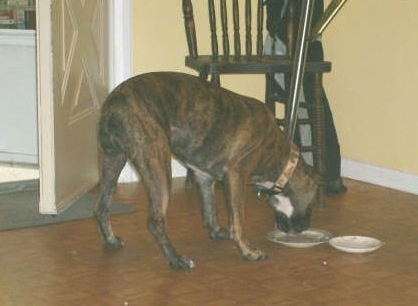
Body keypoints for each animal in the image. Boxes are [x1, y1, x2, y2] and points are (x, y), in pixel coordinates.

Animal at [94, 71, 316, 270]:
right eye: (312, 204)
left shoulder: (203, 176)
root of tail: (115, 101)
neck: (278, 153)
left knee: (102, 207)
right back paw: (177, 260)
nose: (304, 228)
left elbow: (210, 209)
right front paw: (248, 250)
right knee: (155, 222)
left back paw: (111, 241)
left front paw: (217, 232)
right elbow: (238, 221)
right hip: (157, 166)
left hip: (113, 160)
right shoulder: (236, 175)